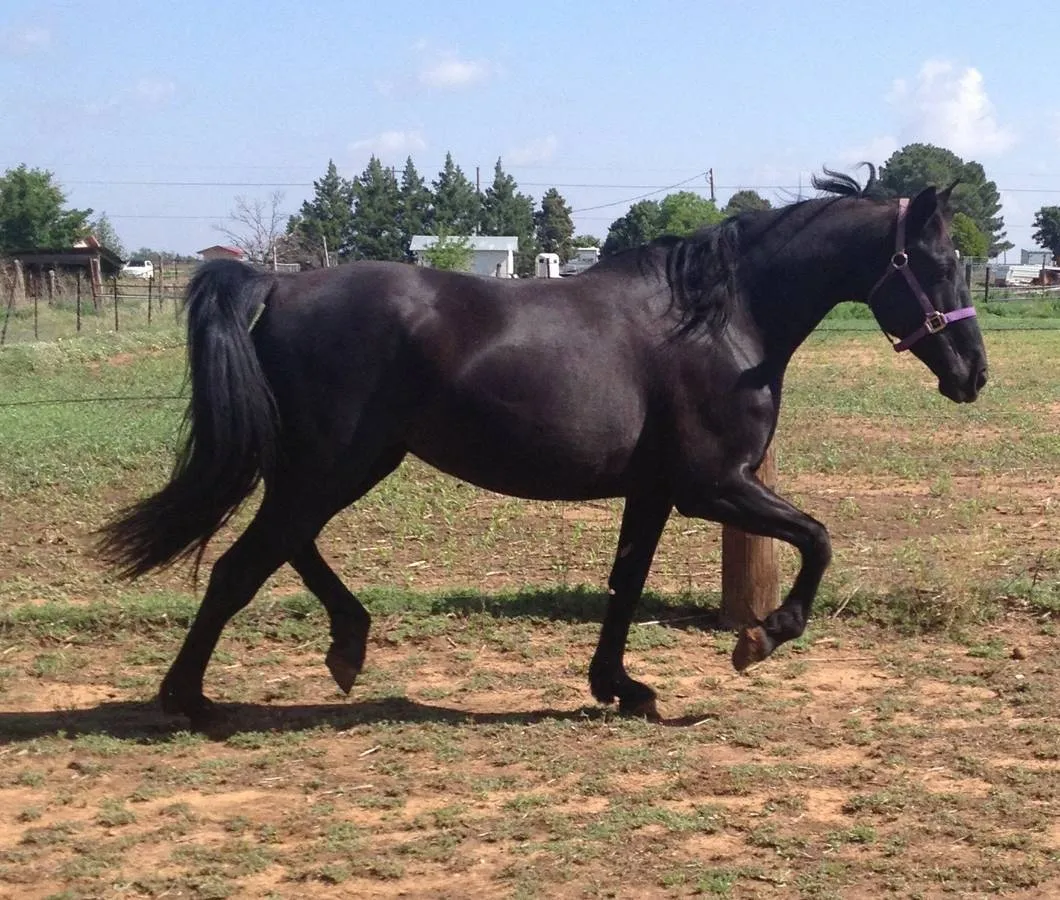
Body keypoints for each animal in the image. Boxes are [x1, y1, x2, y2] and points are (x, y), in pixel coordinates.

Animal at [99, 167, 988, 724]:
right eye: (937, 260)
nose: (974, 374)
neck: (721, 321)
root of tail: (281, 283)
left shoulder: (653, 492)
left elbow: (624, 585)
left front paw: (621, 686)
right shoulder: (713, 485)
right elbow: (819, 537)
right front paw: (760, 638)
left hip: (344, 463)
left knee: (284, 547)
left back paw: (344, 645)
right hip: (333, 464)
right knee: (243, 564)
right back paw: (193, 700)